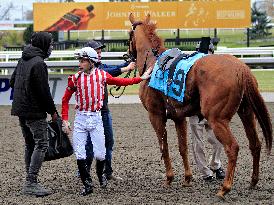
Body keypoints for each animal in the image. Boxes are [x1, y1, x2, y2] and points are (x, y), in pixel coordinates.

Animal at [128, 12, 272, 199]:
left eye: (129, 35)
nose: (127, 55)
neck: (153, 63)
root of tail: (241, 68)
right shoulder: (178, 117)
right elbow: (183, 148)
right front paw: (187, 178)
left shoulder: (156, 115)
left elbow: (163, 146)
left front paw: (169, 178)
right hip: (246, 113)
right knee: (255, 144)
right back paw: (253, 181)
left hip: (217, 119)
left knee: (232, 147)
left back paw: (225, 188)